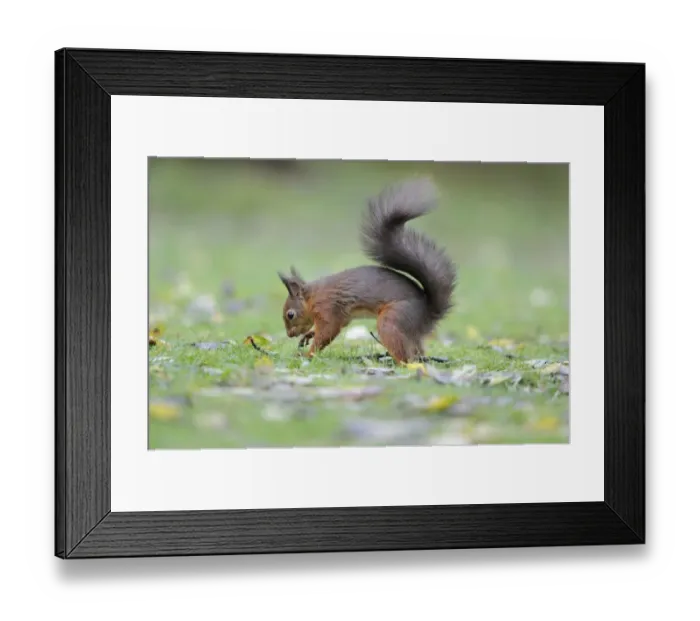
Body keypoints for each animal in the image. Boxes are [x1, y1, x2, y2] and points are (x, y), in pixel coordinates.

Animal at [277, 177, 457, 363]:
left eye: (290, 314)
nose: (289, 334)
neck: (312, 297)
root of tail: (428, 313)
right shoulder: (342, 316)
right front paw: (308, 335)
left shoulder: (328, 308)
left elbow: (328, 331)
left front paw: (308, 354)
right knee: (417, 351)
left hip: (392, 320)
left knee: (406, 356)